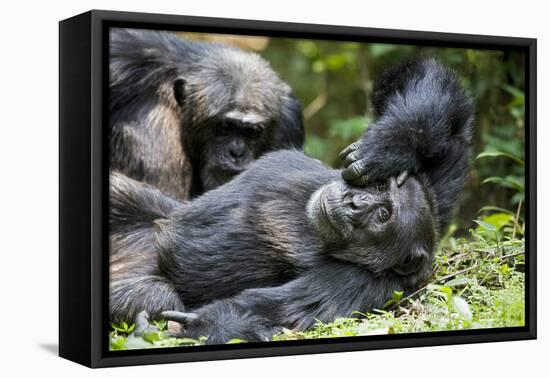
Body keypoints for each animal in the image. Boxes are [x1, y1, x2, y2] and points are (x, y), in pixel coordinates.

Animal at [111, 57, 474, 344]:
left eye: (383, 215)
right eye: (381, 187)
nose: (356, 203)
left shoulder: (365, 284)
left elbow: (277, 311)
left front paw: (206, 327)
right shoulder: (433, 189)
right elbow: (439, 112)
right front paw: (391, 144)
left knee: (158, 294)